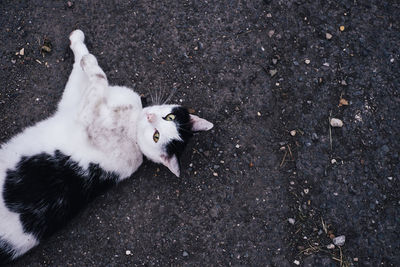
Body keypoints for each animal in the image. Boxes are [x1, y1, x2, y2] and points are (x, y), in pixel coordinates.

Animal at [0, 29, 214, 264]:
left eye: (156, 136)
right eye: (170, 117)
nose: (149, 117)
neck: (132, 120)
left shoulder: (86, 114)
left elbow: (99, 77)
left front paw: (88, 60)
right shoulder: (71, 103)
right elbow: (81, 71)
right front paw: (78, 41)